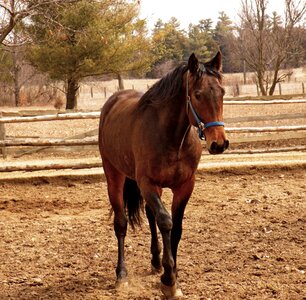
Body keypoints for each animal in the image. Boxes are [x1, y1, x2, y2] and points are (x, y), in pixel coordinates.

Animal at [98, 51, 227, 298]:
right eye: (197, 95)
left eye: (222, 92)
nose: (219, 143)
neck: (172, 138)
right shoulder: (148, 184)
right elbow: (166, 222)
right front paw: (169, 280)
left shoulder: (185, 186)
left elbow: (175, 227)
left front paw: (172, 273)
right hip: (114, 175)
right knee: (121, 223)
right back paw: (122, 275)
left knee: (150, 217)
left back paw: (156, 262)